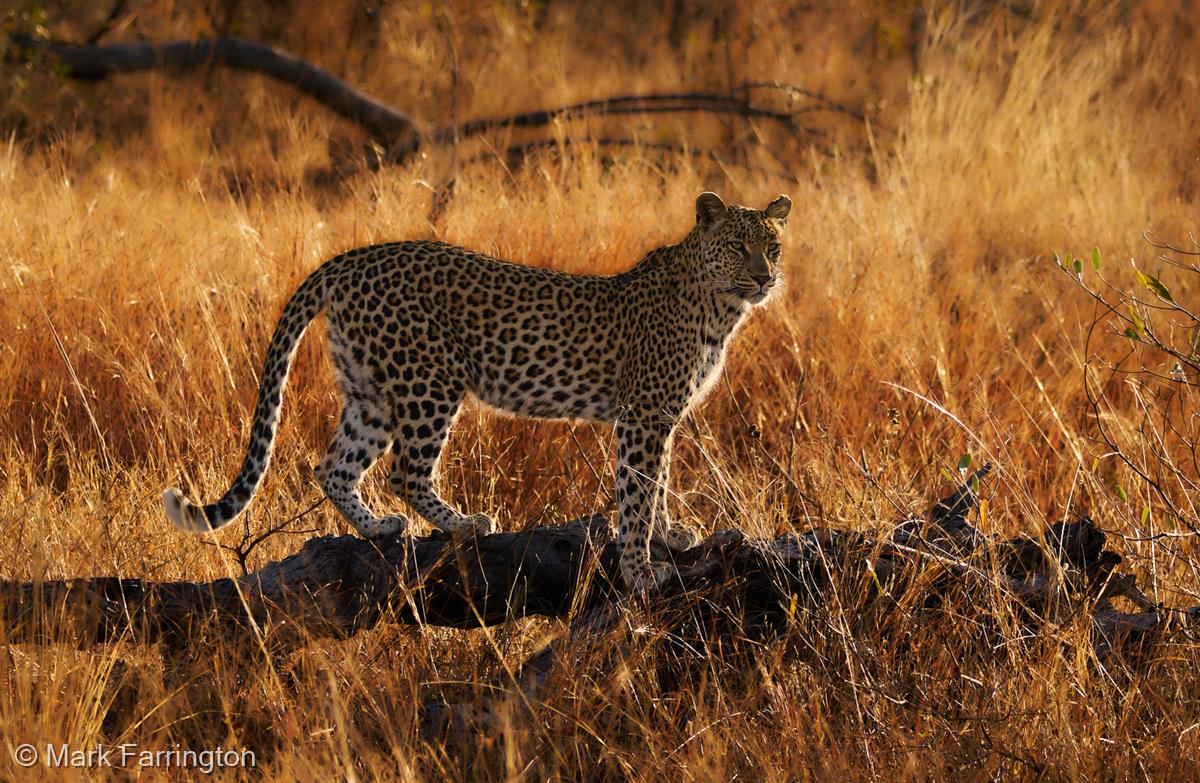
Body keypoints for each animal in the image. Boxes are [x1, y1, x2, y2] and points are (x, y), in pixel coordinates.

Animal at [163, 190, 791, 591]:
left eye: (773, 246)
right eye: (738, 246)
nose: (765, 277)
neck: (720, 307)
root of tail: (351, 259)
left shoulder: (661, 418)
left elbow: (654, 487)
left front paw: (670, 538)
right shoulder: (643, 415)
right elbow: (636, 494)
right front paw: (641, 570)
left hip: (370, 391)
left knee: (334, 466)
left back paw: (381, 528)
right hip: (429, 382)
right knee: (403, 471)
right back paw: (464, 523)